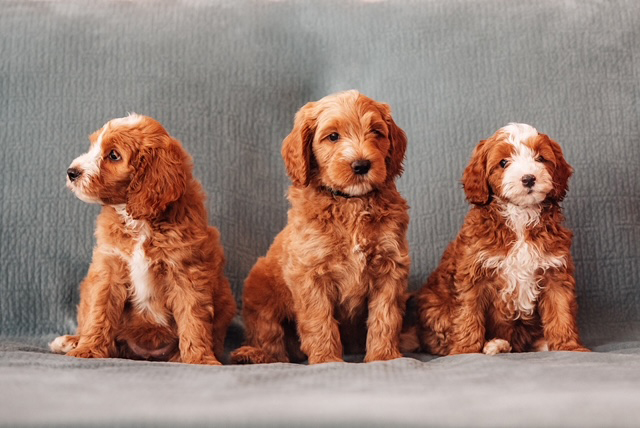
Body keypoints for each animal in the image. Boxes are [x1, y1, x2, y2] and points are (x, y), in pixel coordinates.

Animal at [49, 113, 235, 364]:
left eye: (114, 155)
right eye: (93, 145)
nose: (72, 172)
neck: (140, 222)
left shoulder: (187, 271)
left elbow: (193, 317)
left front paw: (200, 359)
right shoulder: (108, 267)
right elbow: (99, 310)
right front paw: (88, 349)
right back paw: (71, 341)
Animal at [231, 90, 410, 364]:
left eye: (376, 132)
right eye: (333, 136)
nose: (361, 165)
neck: (351, 203)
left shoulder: (390, 267)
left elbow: (385, 316)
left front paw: (384, 357)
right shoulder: (310, 272)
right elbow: (319, 319)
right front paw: (326, 359)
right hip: (260, 291)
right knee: (270, 339)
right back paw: (253, 354)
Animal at [410, 123, 592, 354]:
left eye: (540, 158)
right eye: (504, 163)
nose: (528, 178)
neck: (520, 216)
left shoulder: (555, 271)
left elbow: (561, 311)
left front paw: (568, 347)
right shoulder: (474, 273)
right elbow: (468, 313)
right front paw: (466, 351)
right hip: (435, 307)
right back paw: (494, 344)